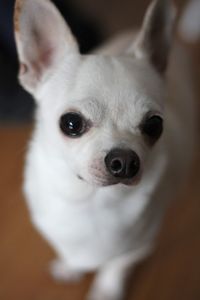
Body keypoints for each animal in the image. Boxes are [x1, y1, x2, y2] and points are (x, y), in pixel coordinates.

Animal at [13, 0, 197, 300]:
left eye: (155, 125)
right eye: (71, 123)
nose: (124, 160)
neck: (92, 201)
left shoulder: (138, 248)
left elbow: (115, 267)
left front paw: (107, 291)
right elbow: (69, 251)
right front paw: (71, 267)